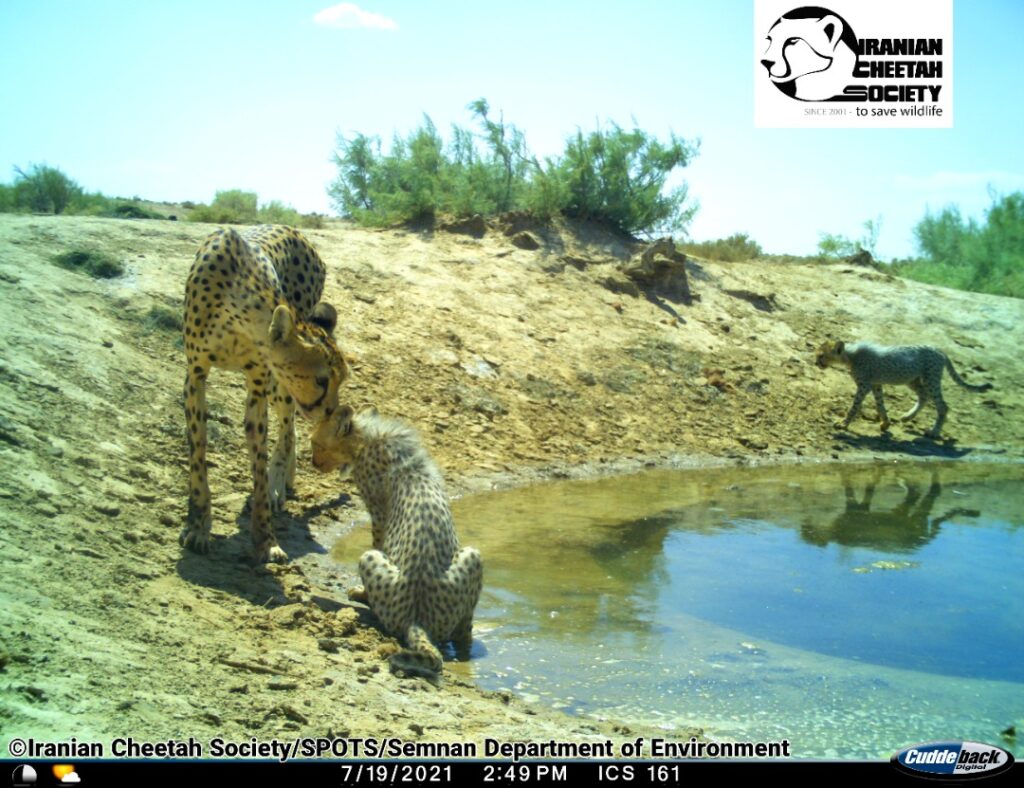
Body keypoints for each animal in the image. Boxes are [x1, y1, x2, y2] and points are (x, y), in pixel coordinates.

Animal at [180, 224, 348, 560]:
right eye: (322, 380)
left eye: (342, 380)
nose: (330, 411)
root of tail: (297, 231)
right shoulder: (195, 374)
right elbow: (198, 452)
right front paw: (199, 527)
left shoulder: (258, 385)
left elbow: (259, 460)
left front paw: (266, 538)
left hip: (278, 387)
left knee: (288, 428)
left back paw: (278, 484)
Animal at [309, 405, 481, 675]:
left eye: (315, 443)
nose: (312, 462)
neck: (369, 438)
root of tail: (417, 620)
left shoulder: (379, 518)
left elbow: (378, 541)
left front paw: (362, 593)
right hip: (473, 555)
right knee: (464, 633)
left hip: (369, 558)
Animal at [815, 337, 991, 435]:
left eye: (821, 355)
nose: (815, 363)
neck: (850, 356)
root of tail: (938, 350)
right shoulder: (876, 384)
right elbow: (880, 404)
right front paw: (885, 423)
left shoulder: (864, 386)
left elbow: (855, 406)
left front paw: (843, 424)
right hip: (912, 380)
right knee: (923, 395)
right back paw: (908, 417)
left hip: (931, 379)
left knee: (942, 405)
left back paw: (934, 432)